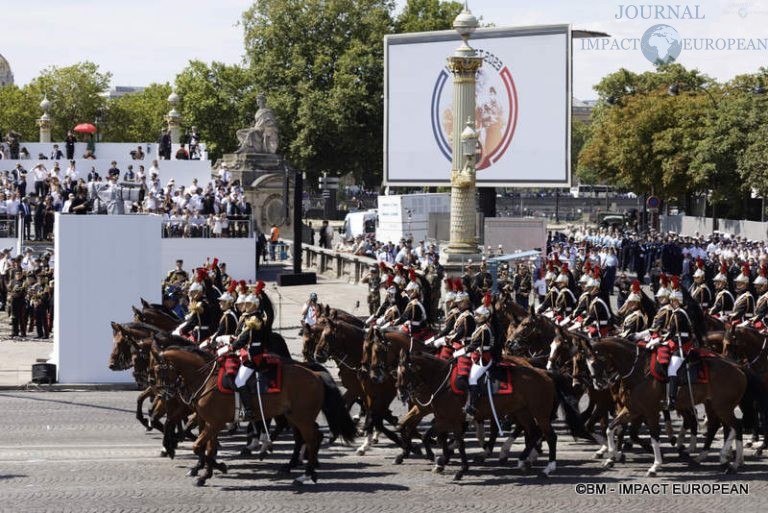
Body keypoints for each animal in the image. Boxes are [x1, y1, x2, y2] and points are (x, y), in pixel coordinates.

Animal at [154, 344, 356, 484]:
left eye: (159, 370)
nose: (164, 395)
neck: (206, 380)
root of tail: (315, 375)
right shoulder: (210, 422)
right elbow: (207, 448)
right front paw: (207, 472)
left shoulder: (214, 423)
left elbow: (199, 447)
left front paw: (213, 468)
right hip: (294, 416)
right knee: (308, 437)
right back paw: (298, 467)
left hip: (302, 418)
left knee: (311, 439)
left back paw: (305, 475)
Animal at [584, 338, 744, 474]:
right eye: (587, 364)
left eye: (596, 362)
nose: (598, 385)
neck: (638, 370)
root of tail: (739, 369)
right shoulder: (632, 409)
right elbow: (611, 429)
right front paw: (612, 454)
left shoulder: (650, 412)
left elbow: (654, 437)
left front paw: (655, 465)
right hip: (713, 406)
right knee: (722, 426)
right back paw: (717, 457)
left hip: (722, 407)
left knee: (736, 426)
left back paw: (733, 462)